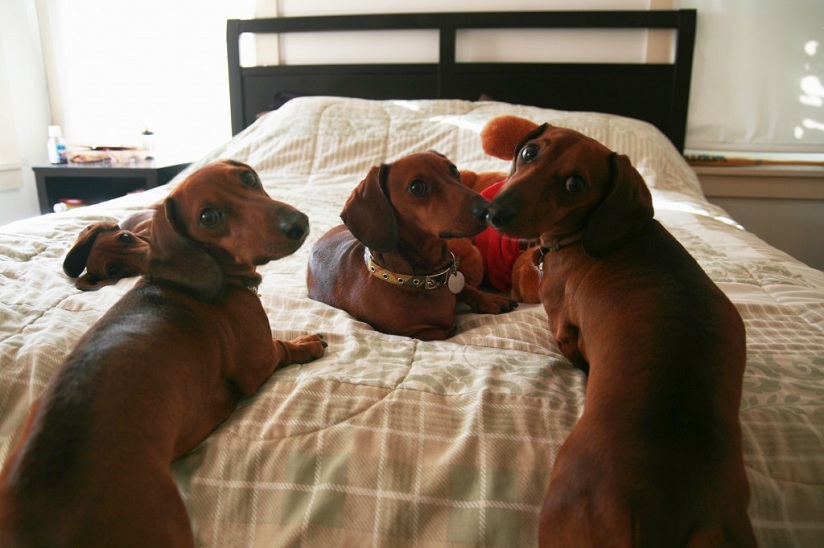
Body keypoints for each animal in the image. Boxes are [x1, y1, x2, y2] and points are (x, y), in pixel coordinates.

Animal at [0, 159, 328, 548]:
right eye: (208, 217)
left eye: (248, 178)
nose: (298, 223)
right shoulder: (258, 363)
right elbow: (282, 347)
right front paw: (307, 343)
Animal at [308, 150, 516, 338]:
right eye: (417, 187)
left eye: (454, 170)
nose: (489, 209)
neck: (417, 279)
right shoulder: (411, 333)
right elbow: (441, 331)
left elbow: (465, 287)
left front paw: (491, 300)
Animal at [486, 115, 756, 544]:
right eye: (529, 151)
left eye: (575, 184)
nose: (492, 211)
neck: (586, 236)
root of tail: (661, 511)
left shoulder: (561, 324)